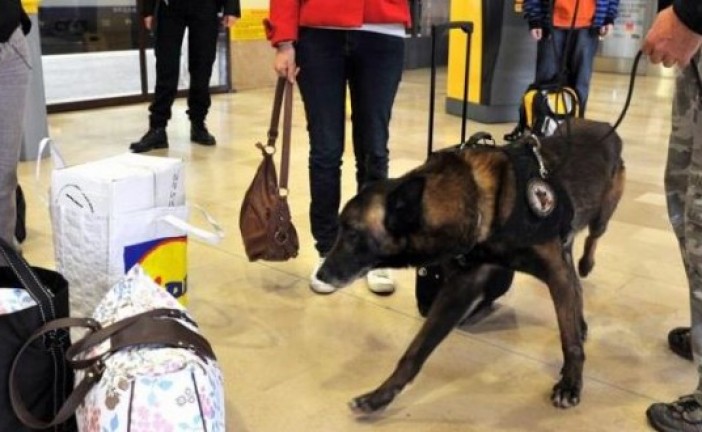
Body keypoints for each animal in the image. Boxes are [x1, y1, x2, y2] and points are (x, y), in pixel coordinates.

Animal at [316, 119, 624, 416]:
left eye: (353, 234)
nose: (321, 274)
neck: (473, 199)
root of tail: (602, 126)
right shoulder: (461, 289)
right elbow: (416, 351)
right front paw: (379, 396)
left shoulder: (555, 272)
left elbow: (568, 338)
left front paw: (570, 383)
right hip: (566, 247)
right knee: (576, 287)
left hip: (599, 219)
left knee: (591, 245)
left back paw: (587, 265)